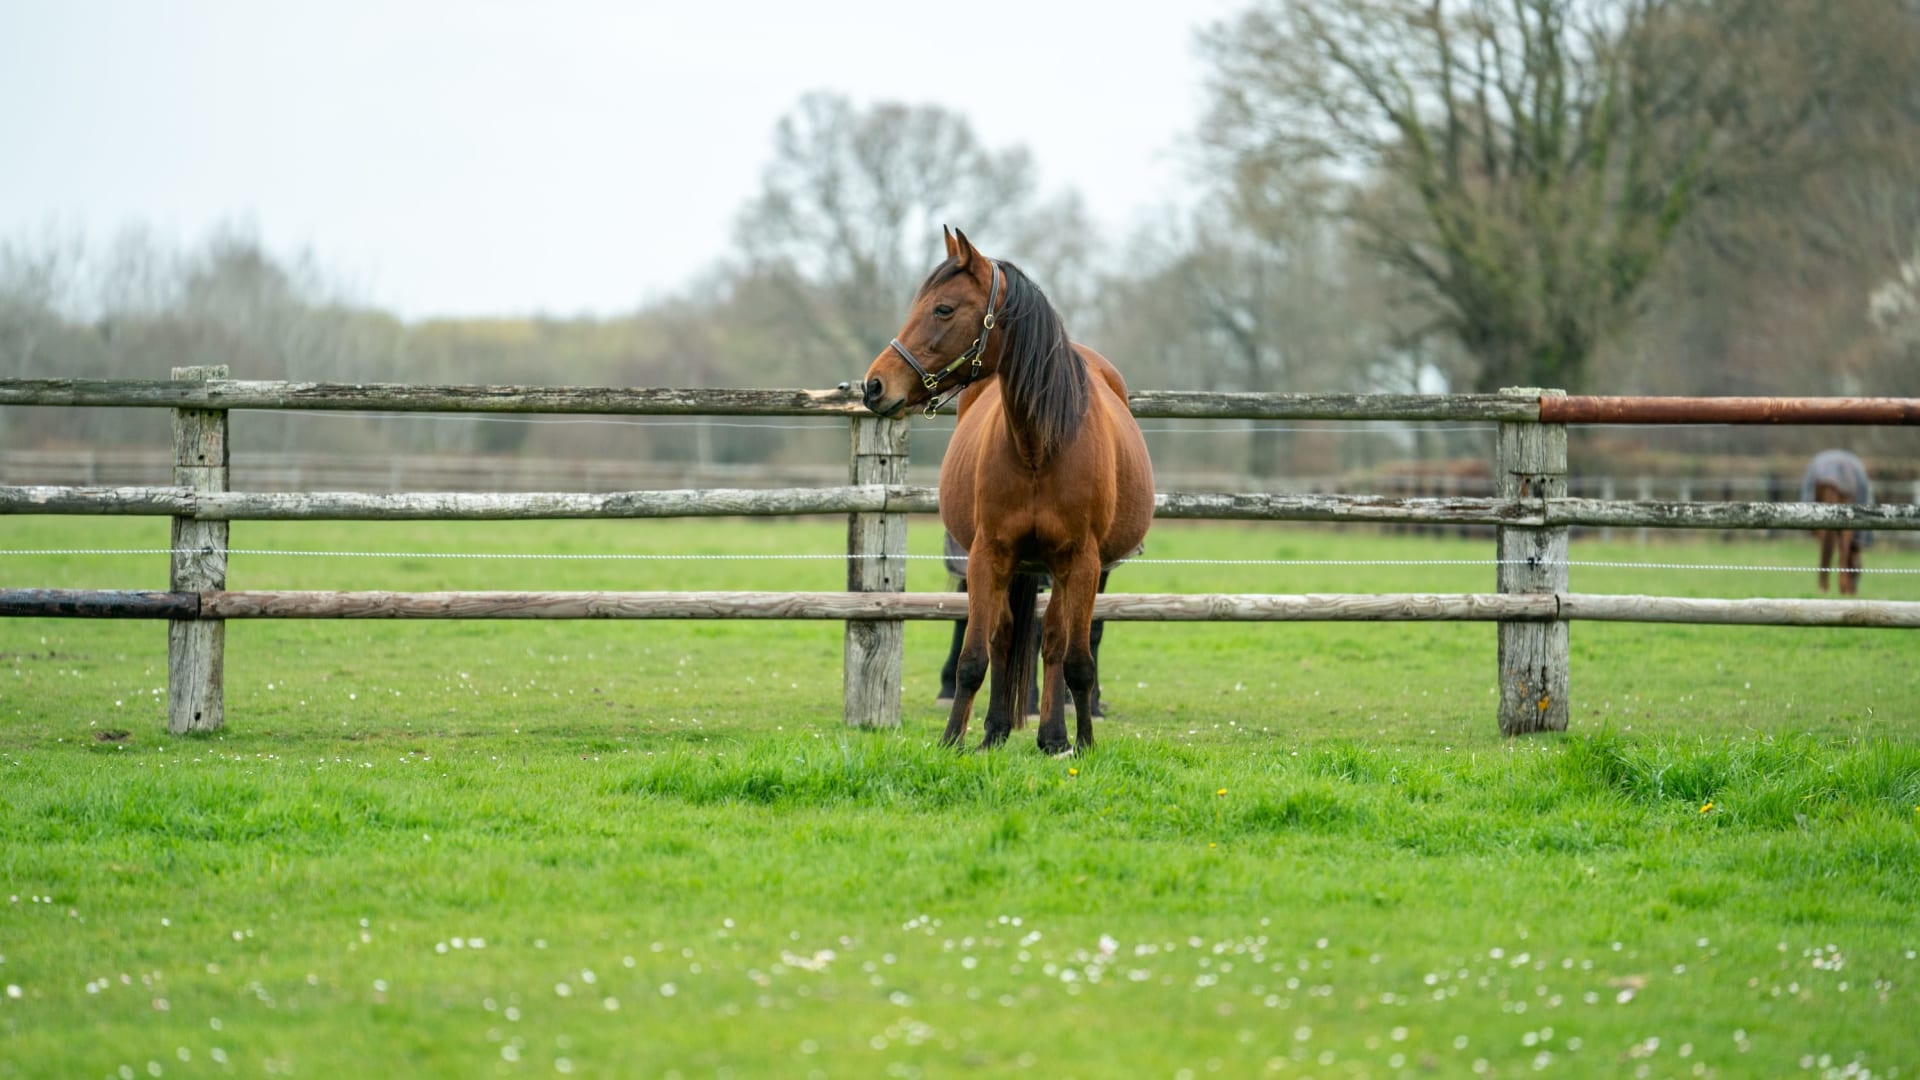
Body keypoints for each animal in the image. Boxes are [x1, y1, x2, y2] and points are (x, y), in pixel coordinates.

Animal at [860, 226, 1152, 749]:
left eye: (943, 309)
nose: (873, 386)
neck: (1041, 444)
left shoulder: (1083, 562)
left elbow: (1076, 659)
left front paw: (1082, 743)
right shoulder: (987, 554)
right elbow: (977, 654)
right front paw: (952, 741)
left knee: (1054, 640)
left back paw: (1053, 735)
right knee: (1007, 636)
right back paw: (996, 730)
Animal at [1797, 447, 1873, 595]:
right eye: (1858, 569)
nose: (1853, 592)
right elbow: (1843, 550)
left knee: (1828, 546)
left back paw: (1823, 586)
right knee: (1841, 548)